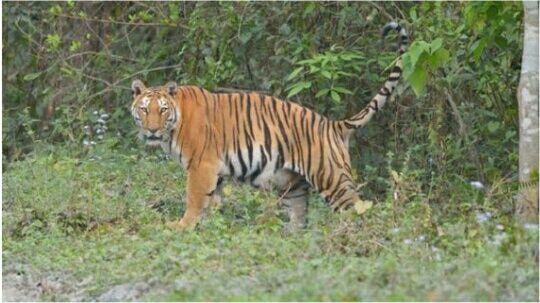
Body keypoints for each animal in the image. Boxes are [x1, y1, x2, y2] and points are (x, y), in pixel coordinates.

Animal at [131, 22, 410, 230]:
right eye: (144, 110)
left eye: (162, 110)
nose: (152, 130)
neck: (174, 126)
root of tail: (334, 125)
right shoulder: (216, 172)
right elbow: (213, 203)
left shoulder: (202, 166)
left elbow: (195, 200)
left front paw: (182, 227)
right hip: (293, 187)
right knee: (299, 221)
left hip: (333, 180)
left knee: (359, 210)